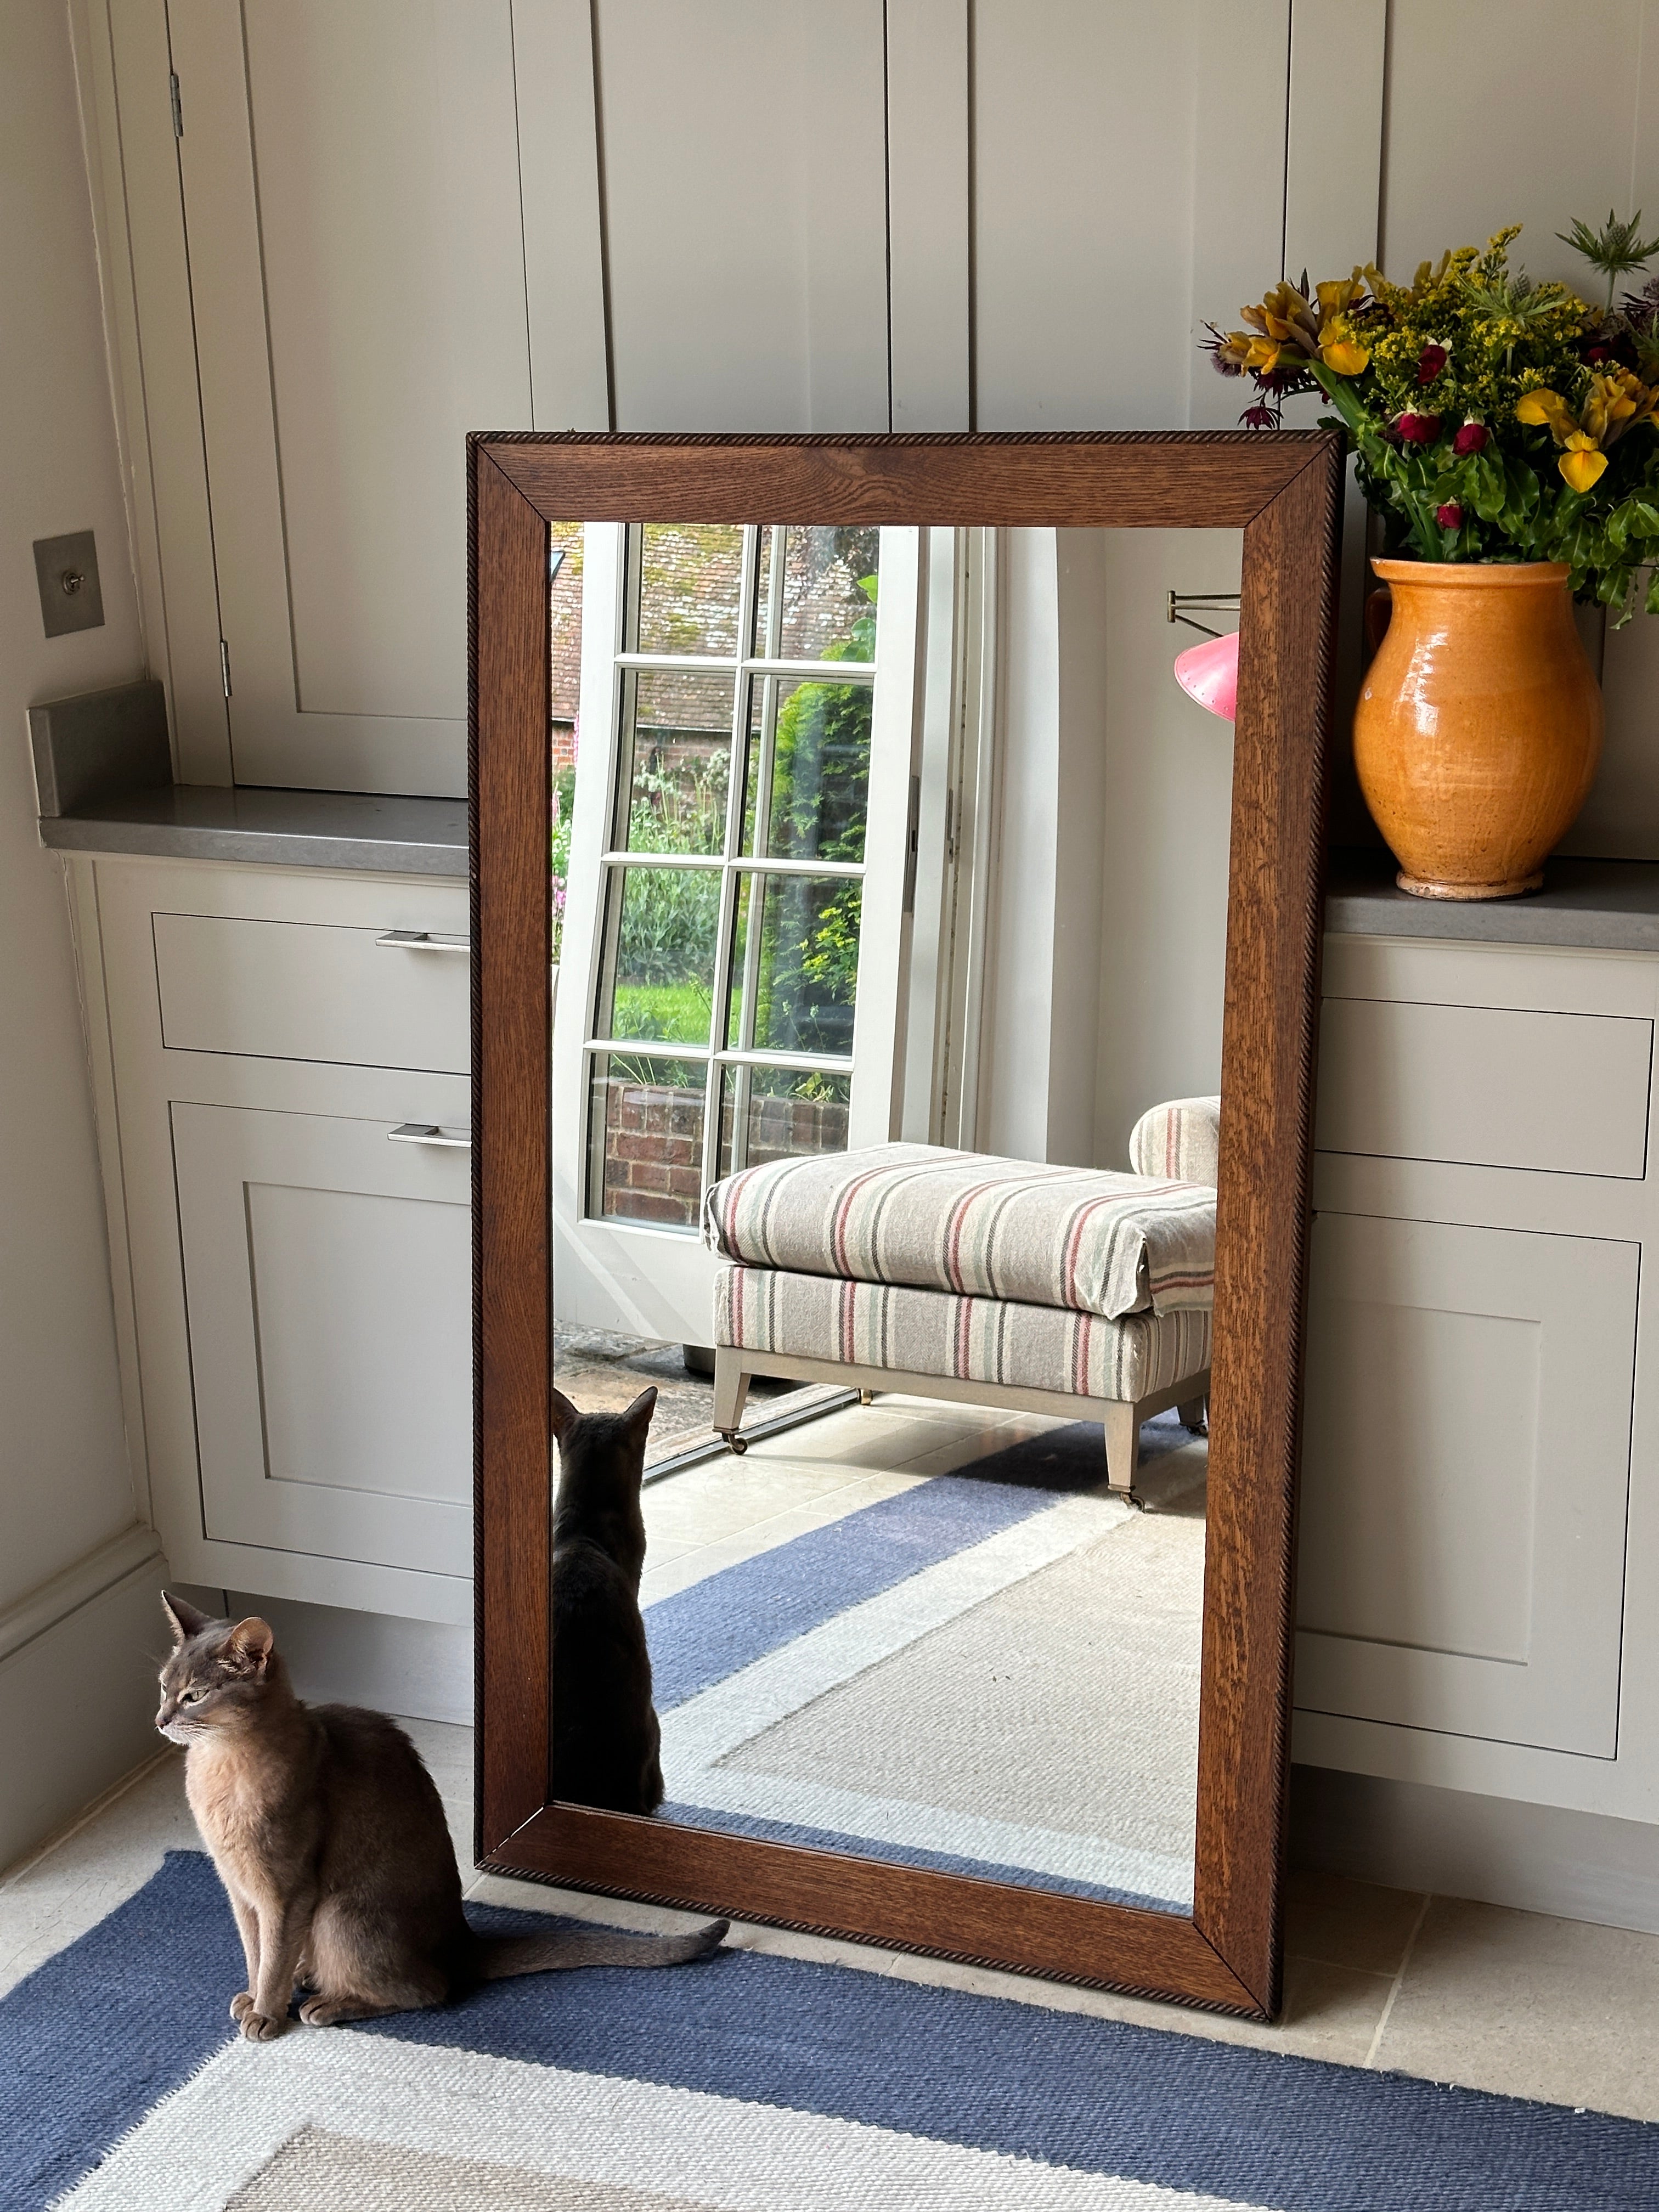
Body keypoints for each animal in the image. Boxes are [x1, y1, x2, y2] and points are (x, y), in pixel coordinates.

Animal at [157, 1593, 725, 2035]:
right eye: (164, 1687)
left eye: (195, 1696)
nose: (160, 1720)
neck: (218, 1769)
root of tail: (460, 1940)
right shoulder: (240, 1890)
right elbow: (257, 1953)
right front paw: (253, 1996)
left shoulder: (285, 1891)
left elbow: (272, 1957)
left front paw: (267, 2014)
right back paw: (309, 1979)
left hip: (339, 1914)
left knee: (429, 1990)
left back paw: (328, 2004)